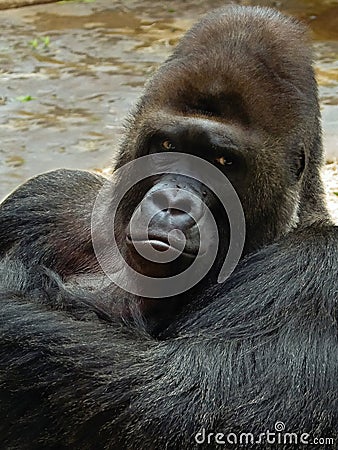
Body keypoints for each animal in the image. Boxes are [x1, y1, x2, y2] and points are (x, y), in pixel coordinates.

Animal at [0, 4, 338, 450]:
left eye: (223, 162)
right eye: (166, 146)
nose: (173, 204)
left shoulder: (316, 267)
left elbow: (182, 398)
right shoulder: (51, 195)